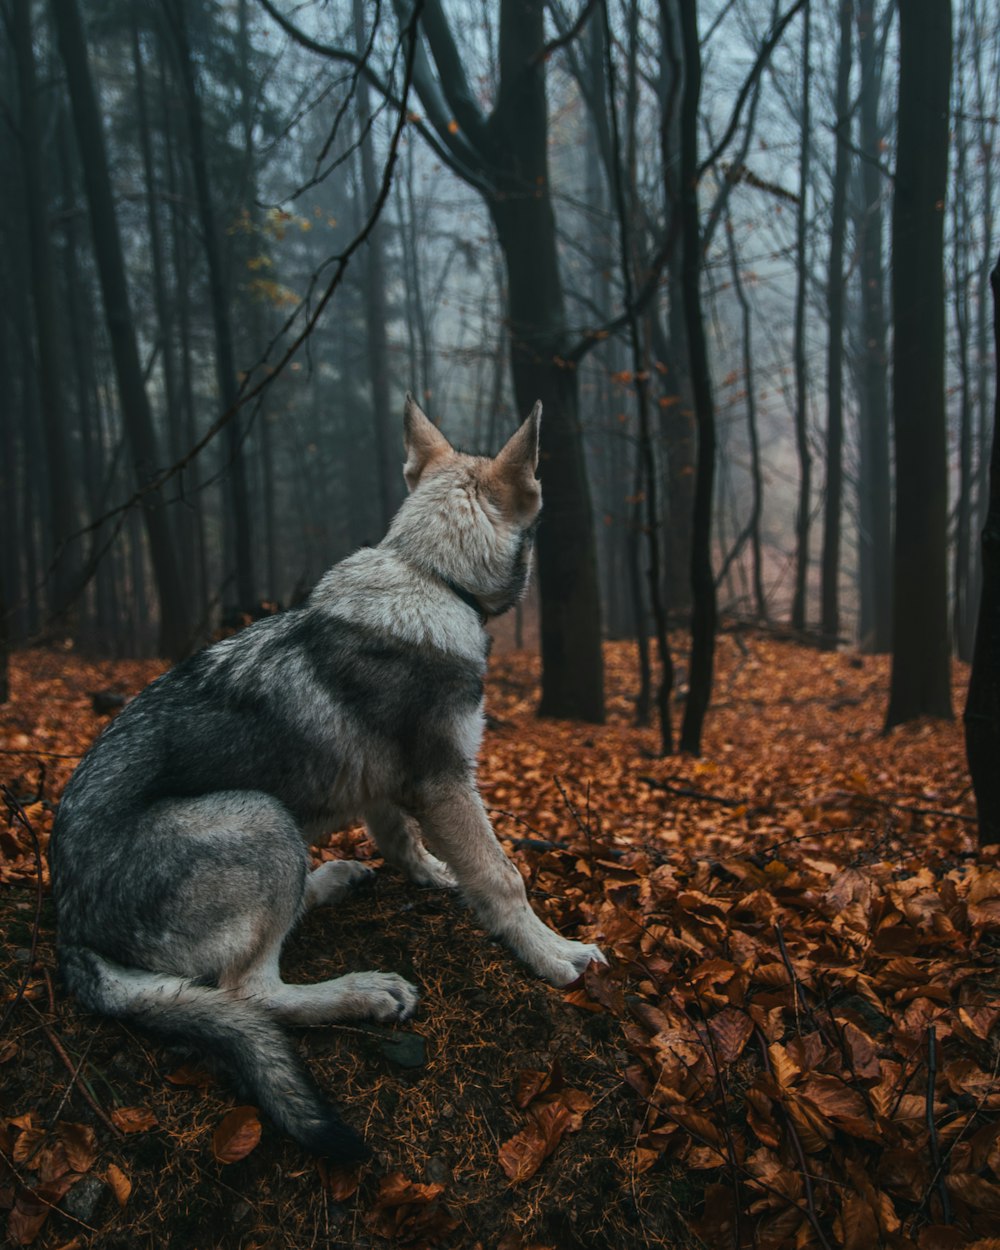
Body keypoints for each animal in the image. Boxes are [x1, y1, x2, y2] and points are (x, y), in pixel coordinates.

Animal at [50, 392, 605, 1160]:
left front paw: (436, 876)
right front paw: (553, 955)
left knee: (263, 941)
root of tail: (68, 929)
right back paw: (366, 992)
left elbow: (406, 843)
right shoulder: (446, 782)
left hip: (276, 835)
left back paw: (335, 880)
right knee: (248, 991)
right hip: (261, 815)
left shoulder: (390, 789)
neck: (428, 575)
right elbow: (503, 879)